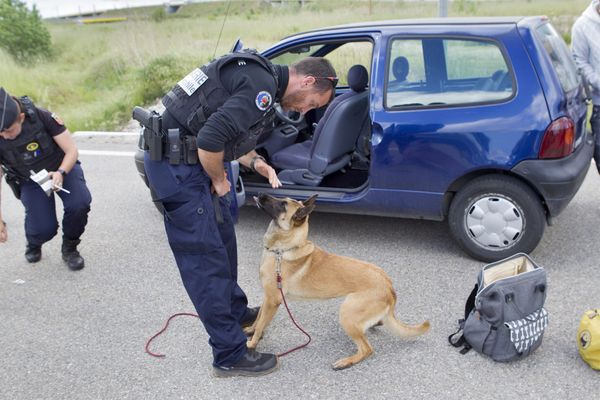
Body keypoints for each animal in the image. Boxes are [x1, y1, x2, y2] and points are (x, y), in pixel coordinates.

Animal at [246, 193, 428, 368]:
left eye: (283, 204)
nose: (260, 194)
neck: (282, 250)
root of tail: (389, 285)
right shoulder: (267, 297)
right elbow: (259, 318)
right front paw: (250, 330)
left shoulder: (273, 300)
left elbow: (261, 324)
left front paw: (252, 344)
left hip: (347, 314)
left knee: (367, 349)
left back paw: (346, 362)